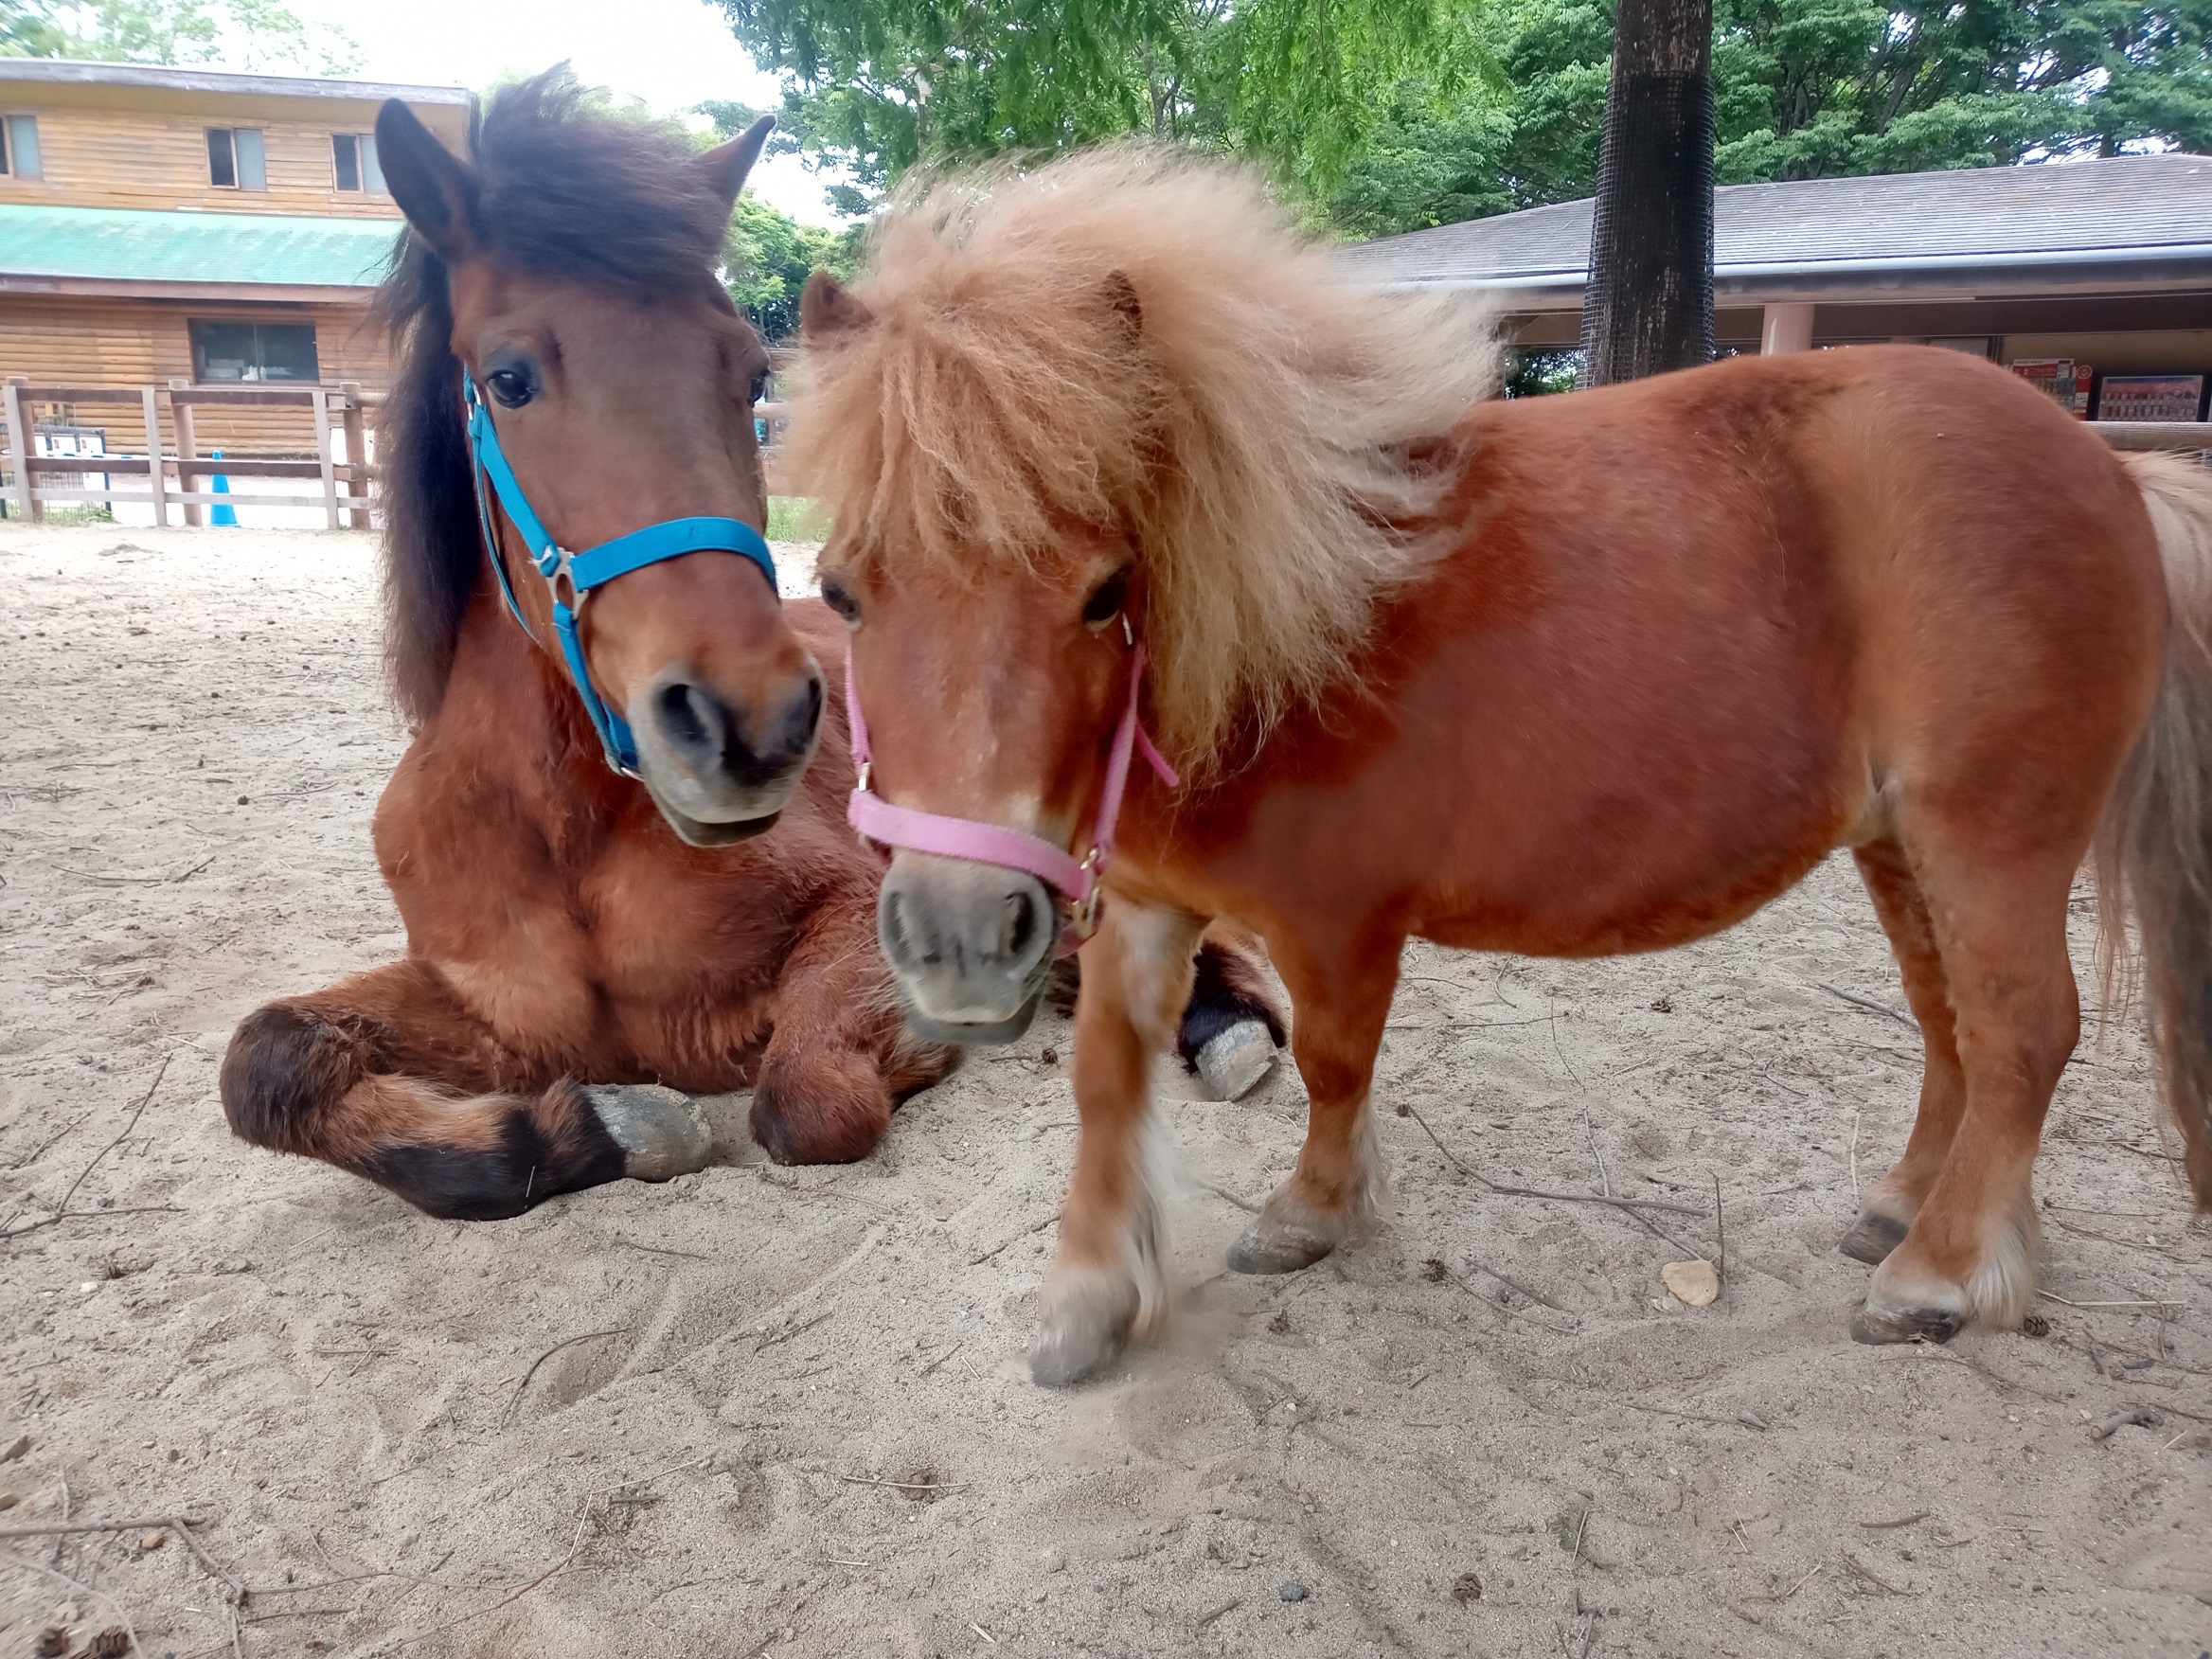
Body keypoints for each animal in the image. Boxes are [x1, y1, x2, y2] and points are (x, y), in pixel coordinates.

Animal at [211, 80, 1282, 1221]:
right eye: (507, 377)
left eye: (750, 369)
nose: (747, 722)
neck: (568, 829)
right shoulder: (492, 1012)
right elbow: (264, 1061)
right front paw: (592, 1126)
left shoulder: (857, 915)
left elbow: (810, 1097)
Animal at [800, 146, 2212, 1389]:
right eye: (842, 591)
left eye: (1103, 593)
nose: (957, 936)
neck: (1281, 624)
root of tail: (2114, 469)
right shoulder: (1145, 904)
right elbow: (1103, 1081)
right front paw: (1089, 1299)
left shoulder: (1336, 927)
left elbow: (1335, 1068)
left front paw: (1312, 1215)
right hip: (1897, 845)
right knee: (1952, 1027)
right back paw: (1917, 1216)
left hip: (1989, 839)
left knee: (2024, 1029)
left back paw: (1939, 1274)